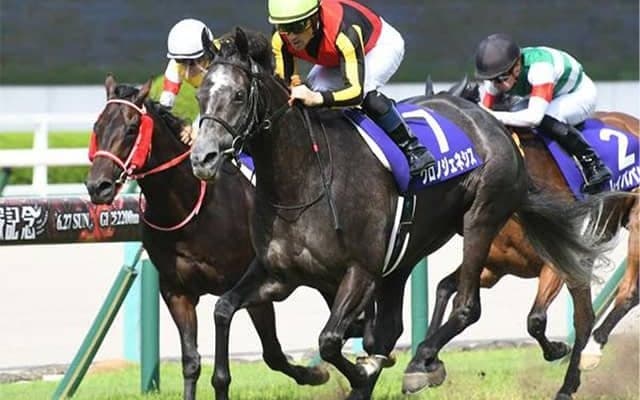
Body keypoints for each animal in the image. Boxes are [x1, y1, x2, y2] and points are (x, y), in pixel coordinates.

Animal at [84, 74, 332, 399]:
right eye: (97, 127)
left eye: (131, 128)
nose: (97, 186)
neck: (191, 207)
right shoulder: (176, 291)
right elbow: (191, 362)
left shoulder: (249, 287)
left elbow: (272, 354)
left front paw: (317, 373)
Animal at [425, 79, 639, 369]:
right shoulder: (492, 268)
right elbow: (444, 287)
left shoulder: (557, 264)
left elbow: (535, 320)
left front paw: (558, 349)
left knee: (628, 292)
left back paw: (593, 348)